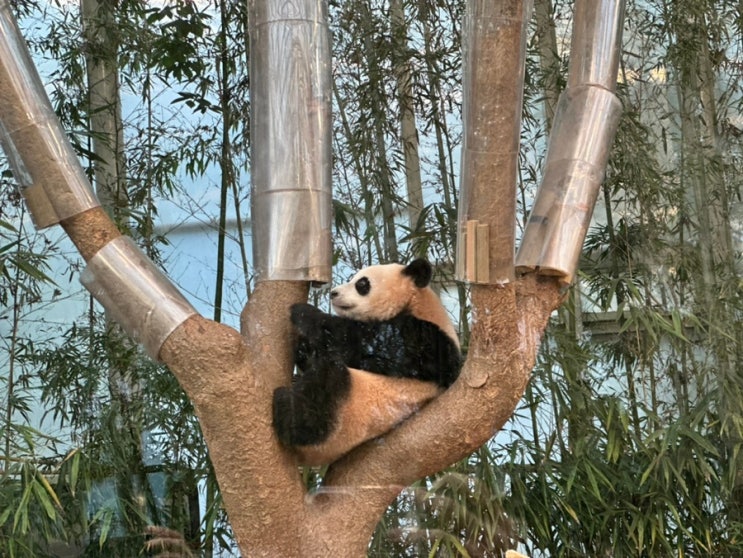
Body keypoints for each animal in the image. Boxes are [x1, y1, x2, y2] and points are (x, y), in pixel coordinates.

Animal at [272, 258, 461, 465]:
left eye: (362, 284)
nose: (333, 293)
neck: (418, 303)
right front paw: (302, 348)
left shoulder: (424, 340)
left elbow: (359, 343)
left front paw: (304, 312)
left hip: (347, 422)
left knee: (328, 381)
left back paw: (286, 407)